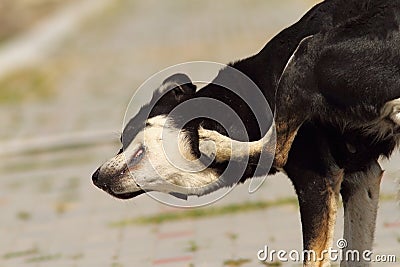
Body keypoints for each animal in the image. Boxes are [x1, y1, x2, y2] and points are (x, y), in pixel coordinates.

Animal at [92, 0, 398, 266]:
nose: (94, 177)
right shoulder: (362, 179)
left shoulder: (317, 181)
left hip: (307, 52)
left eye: (126, 136)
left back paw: (217, 144)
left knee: (275, 149)